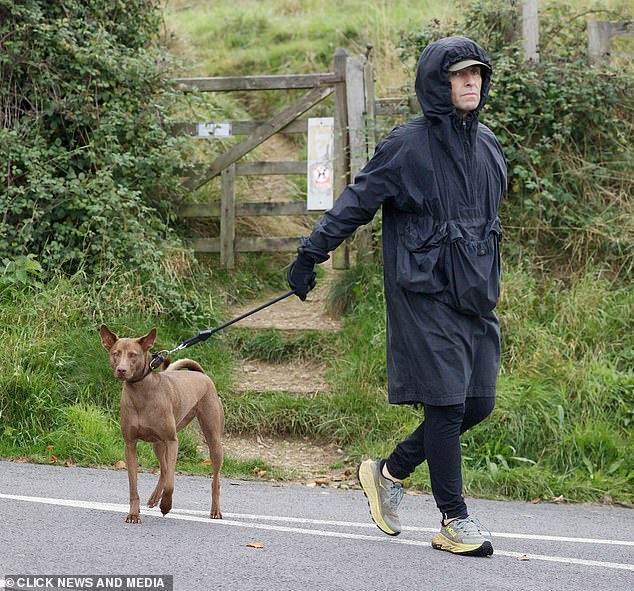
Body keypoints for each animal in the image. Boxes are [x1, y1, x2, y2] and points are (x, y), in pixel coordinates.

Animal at [99, 326, 225, 524]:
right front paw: (133, 514)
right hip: (158, 445)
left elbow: (171, 484)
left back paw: (215, 510)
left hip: (213, 440)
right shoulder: (130, 445)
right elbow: (134, 486)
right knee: (165, 470)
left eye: (133, 355)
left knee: (215, 480)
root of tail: (202, 375)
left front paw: (166, 505)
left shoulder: (173, 442)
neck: (141, 393)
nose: (121, 370)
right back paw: (153, 499)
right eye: (115, 353)